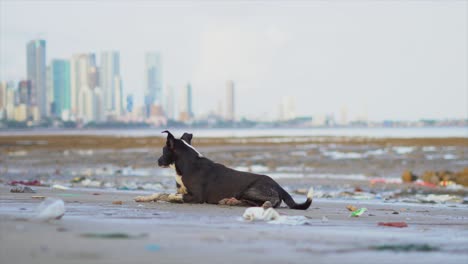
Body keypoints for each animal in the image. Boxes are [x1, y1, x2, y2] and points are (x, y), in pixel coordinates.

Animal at [158, 130, 314, 210]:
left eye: (163, 150)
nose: (158, 161)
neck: (188, 164)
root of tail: (278, 186)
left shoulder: (197, 197)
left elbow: (174, 196)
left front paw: (170, 197)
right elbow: (168, 194)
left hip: (249, 190)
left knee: (270, 201)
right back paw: (231, 202)